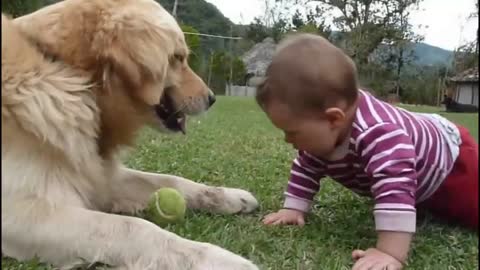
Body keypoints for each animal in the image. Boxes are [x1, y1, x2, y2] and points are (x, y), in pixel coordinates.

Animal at [1, 1, 260, 268]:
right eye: (177, 58)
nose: (212, 98)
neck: (75, 78)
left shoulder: (100, 175)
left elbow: (170, 180)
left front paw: (229, 196)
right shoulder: (20, 213)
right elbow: (133, 227)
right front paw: (217, 258)